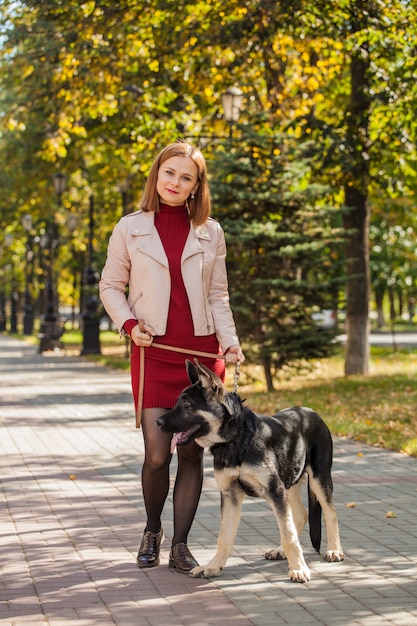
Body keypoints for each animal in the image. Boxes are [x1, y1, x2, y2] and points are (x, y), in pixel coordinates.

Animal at [154, 358, 342, 584]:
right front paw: (213, 567)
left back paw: (334, 550)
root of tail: (311, 412)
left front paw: (298, 569)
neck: (236, 438)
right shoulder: (230, 495)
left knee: (330, 512)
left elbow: (288, 533)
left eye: (187, 405)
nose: (157, 422)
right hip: (290, 483)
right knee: (300, 515)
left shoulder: (275, 491)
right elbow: (224, 537)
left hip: (318, 478)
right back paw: (280, 551)